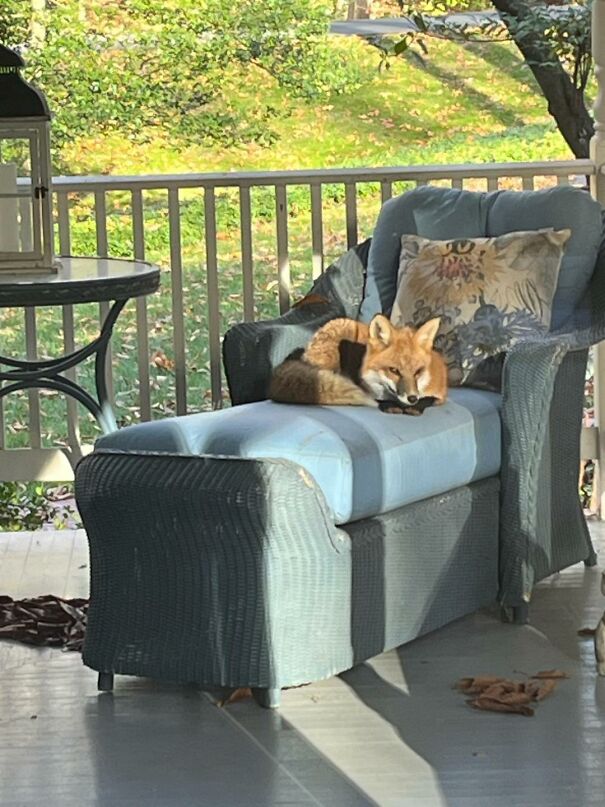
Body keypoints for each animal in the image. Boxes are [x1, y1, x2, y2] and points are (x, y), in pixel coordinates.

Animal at [269, 314, 447, 413]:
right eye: (394, 370)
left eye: (418, 371)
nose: (412, 398)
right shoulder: (366, 386)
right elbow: (377, 399)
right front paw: (389, 405)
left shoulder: (441, 394)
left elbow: (428, 399)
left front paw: (415, 407)